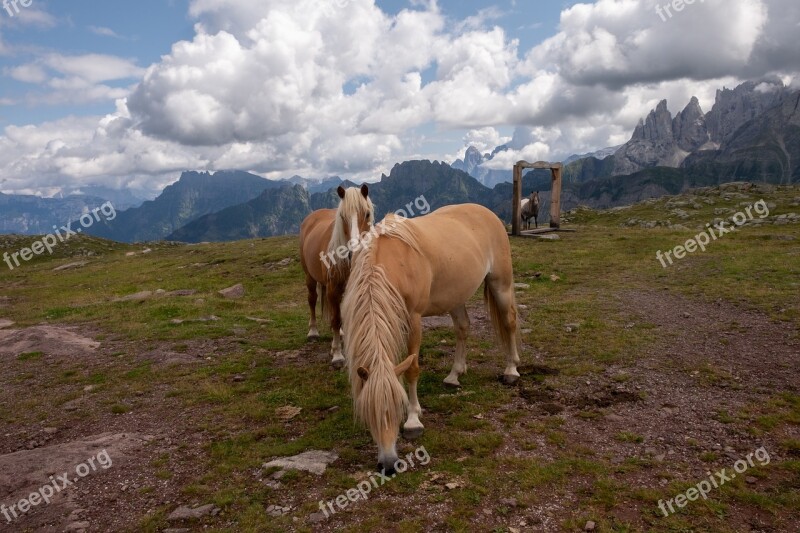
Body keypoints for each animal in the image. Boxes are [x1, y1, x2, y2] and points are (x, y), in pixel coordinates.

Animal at [300, 185, 376, 368]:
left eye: (367, 214)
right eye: (342, 216)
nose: (354, 253)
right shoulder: (333, 290)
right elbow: (335, 319)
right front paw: (337, 355)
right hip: (310, 277)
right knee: (312, 300)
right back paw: (313, 331)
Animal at [340, 203, 520, 470]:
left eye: (398, 407)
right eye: (369, 412)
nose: (389, 464)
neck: (390, 261)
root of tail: (486, 212)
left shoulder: (413, 319)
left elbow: (412, 369)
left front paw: (413, 420)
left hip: (501, 284)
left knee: (509, 323)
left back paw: (512, 369)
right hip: (456, 295)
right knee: (463, 328)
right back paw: (455, 374)